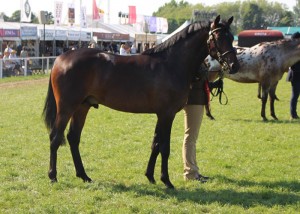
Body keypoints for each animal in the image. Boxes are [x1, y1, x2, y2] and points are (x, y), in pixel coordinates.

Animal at [42, 15, 239, 189]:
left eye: (231, 38)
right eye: (218, 37)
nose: (234, 66)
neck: (171, 64)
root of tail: (61, 59)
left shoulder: (161, 115)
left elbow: (156, 144)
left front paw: (150, 176)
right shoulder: (167, 114)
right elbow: (165, 147)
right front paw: (166, 180)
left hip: (82, 107)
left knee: (73, 138)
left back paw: (84, 176)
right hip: (66, 108)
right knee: (55, 137)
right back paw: (52, 176)